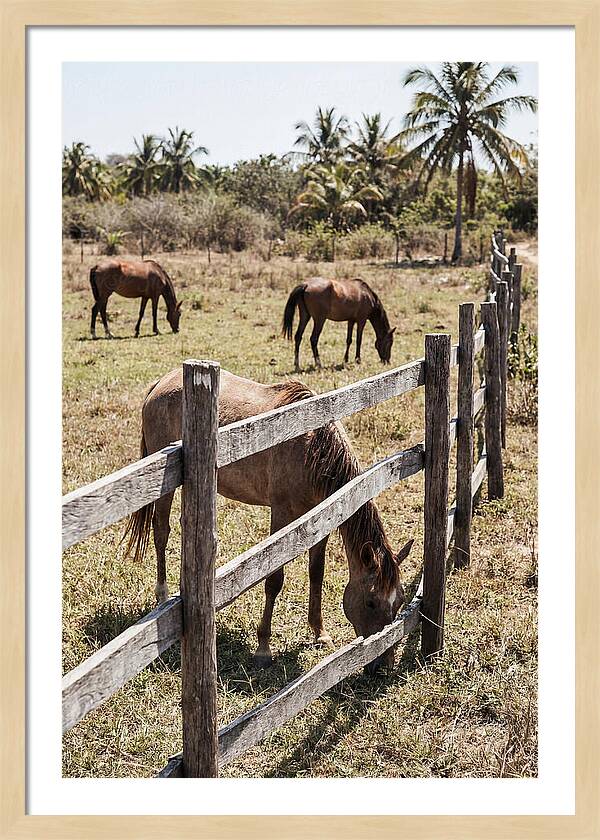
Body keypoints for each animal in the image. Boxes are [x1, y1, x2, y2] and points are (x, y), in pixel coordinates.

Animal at [123, 368, 414, 673]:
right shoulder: (281, 513)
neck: (312, 447)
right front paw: (263, 648)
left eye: (399, 601)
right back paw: (163, 595)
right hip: (163, 486)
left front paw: (319, 633)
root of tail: (161, 383)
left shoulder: (321, 516)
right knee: (161, 532)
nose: (383, 664)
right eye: (370, 602)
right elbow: (274, 579)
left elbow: (317, 572)